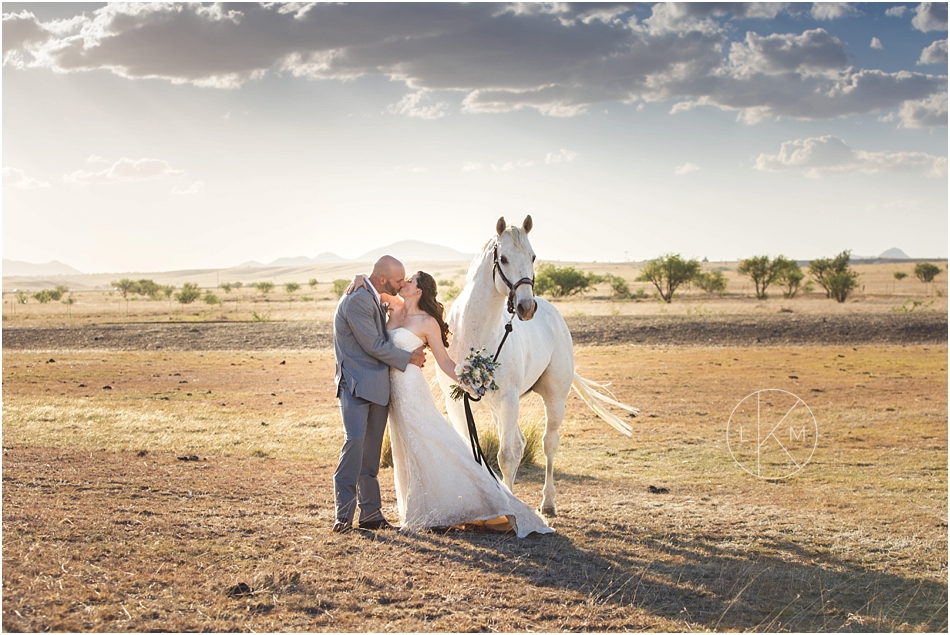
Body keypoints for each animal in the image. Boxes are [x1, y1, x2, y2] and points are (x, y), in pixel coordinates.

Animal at [438, 215, 640, 516]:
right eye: (504, 258)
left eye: (533, 256)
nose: (526, 307)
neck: (476, 332)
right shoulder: (457, 402)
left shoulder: (509, 401)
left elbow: (506, 457)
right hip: (498, 408)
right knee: (522, 443)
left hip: (552, 399)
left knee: (548, 444)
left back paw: (548, 502)